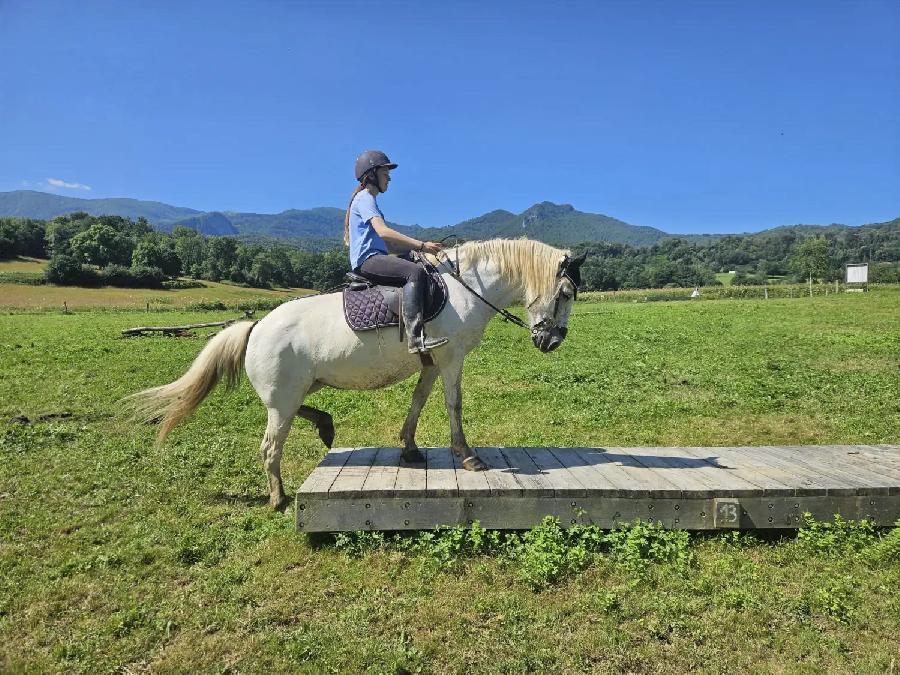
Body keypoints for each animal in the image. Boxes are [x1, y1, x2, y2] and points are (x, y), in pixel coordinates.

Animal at [130, 238, 588, 508]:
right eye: (566, 293)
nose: (552, 342)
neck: (464, 289)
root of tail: (256, 326)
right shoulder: (451, 359)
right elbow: (454, 405)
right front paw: (467, 455)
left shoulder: (431, 362)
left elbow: (419, 401)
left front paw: (409, 447)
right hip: (281, 400)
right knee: (270, 447)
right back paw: (279, 498)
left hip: (296, 390)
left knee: (300, 413)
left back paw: (326, 426)